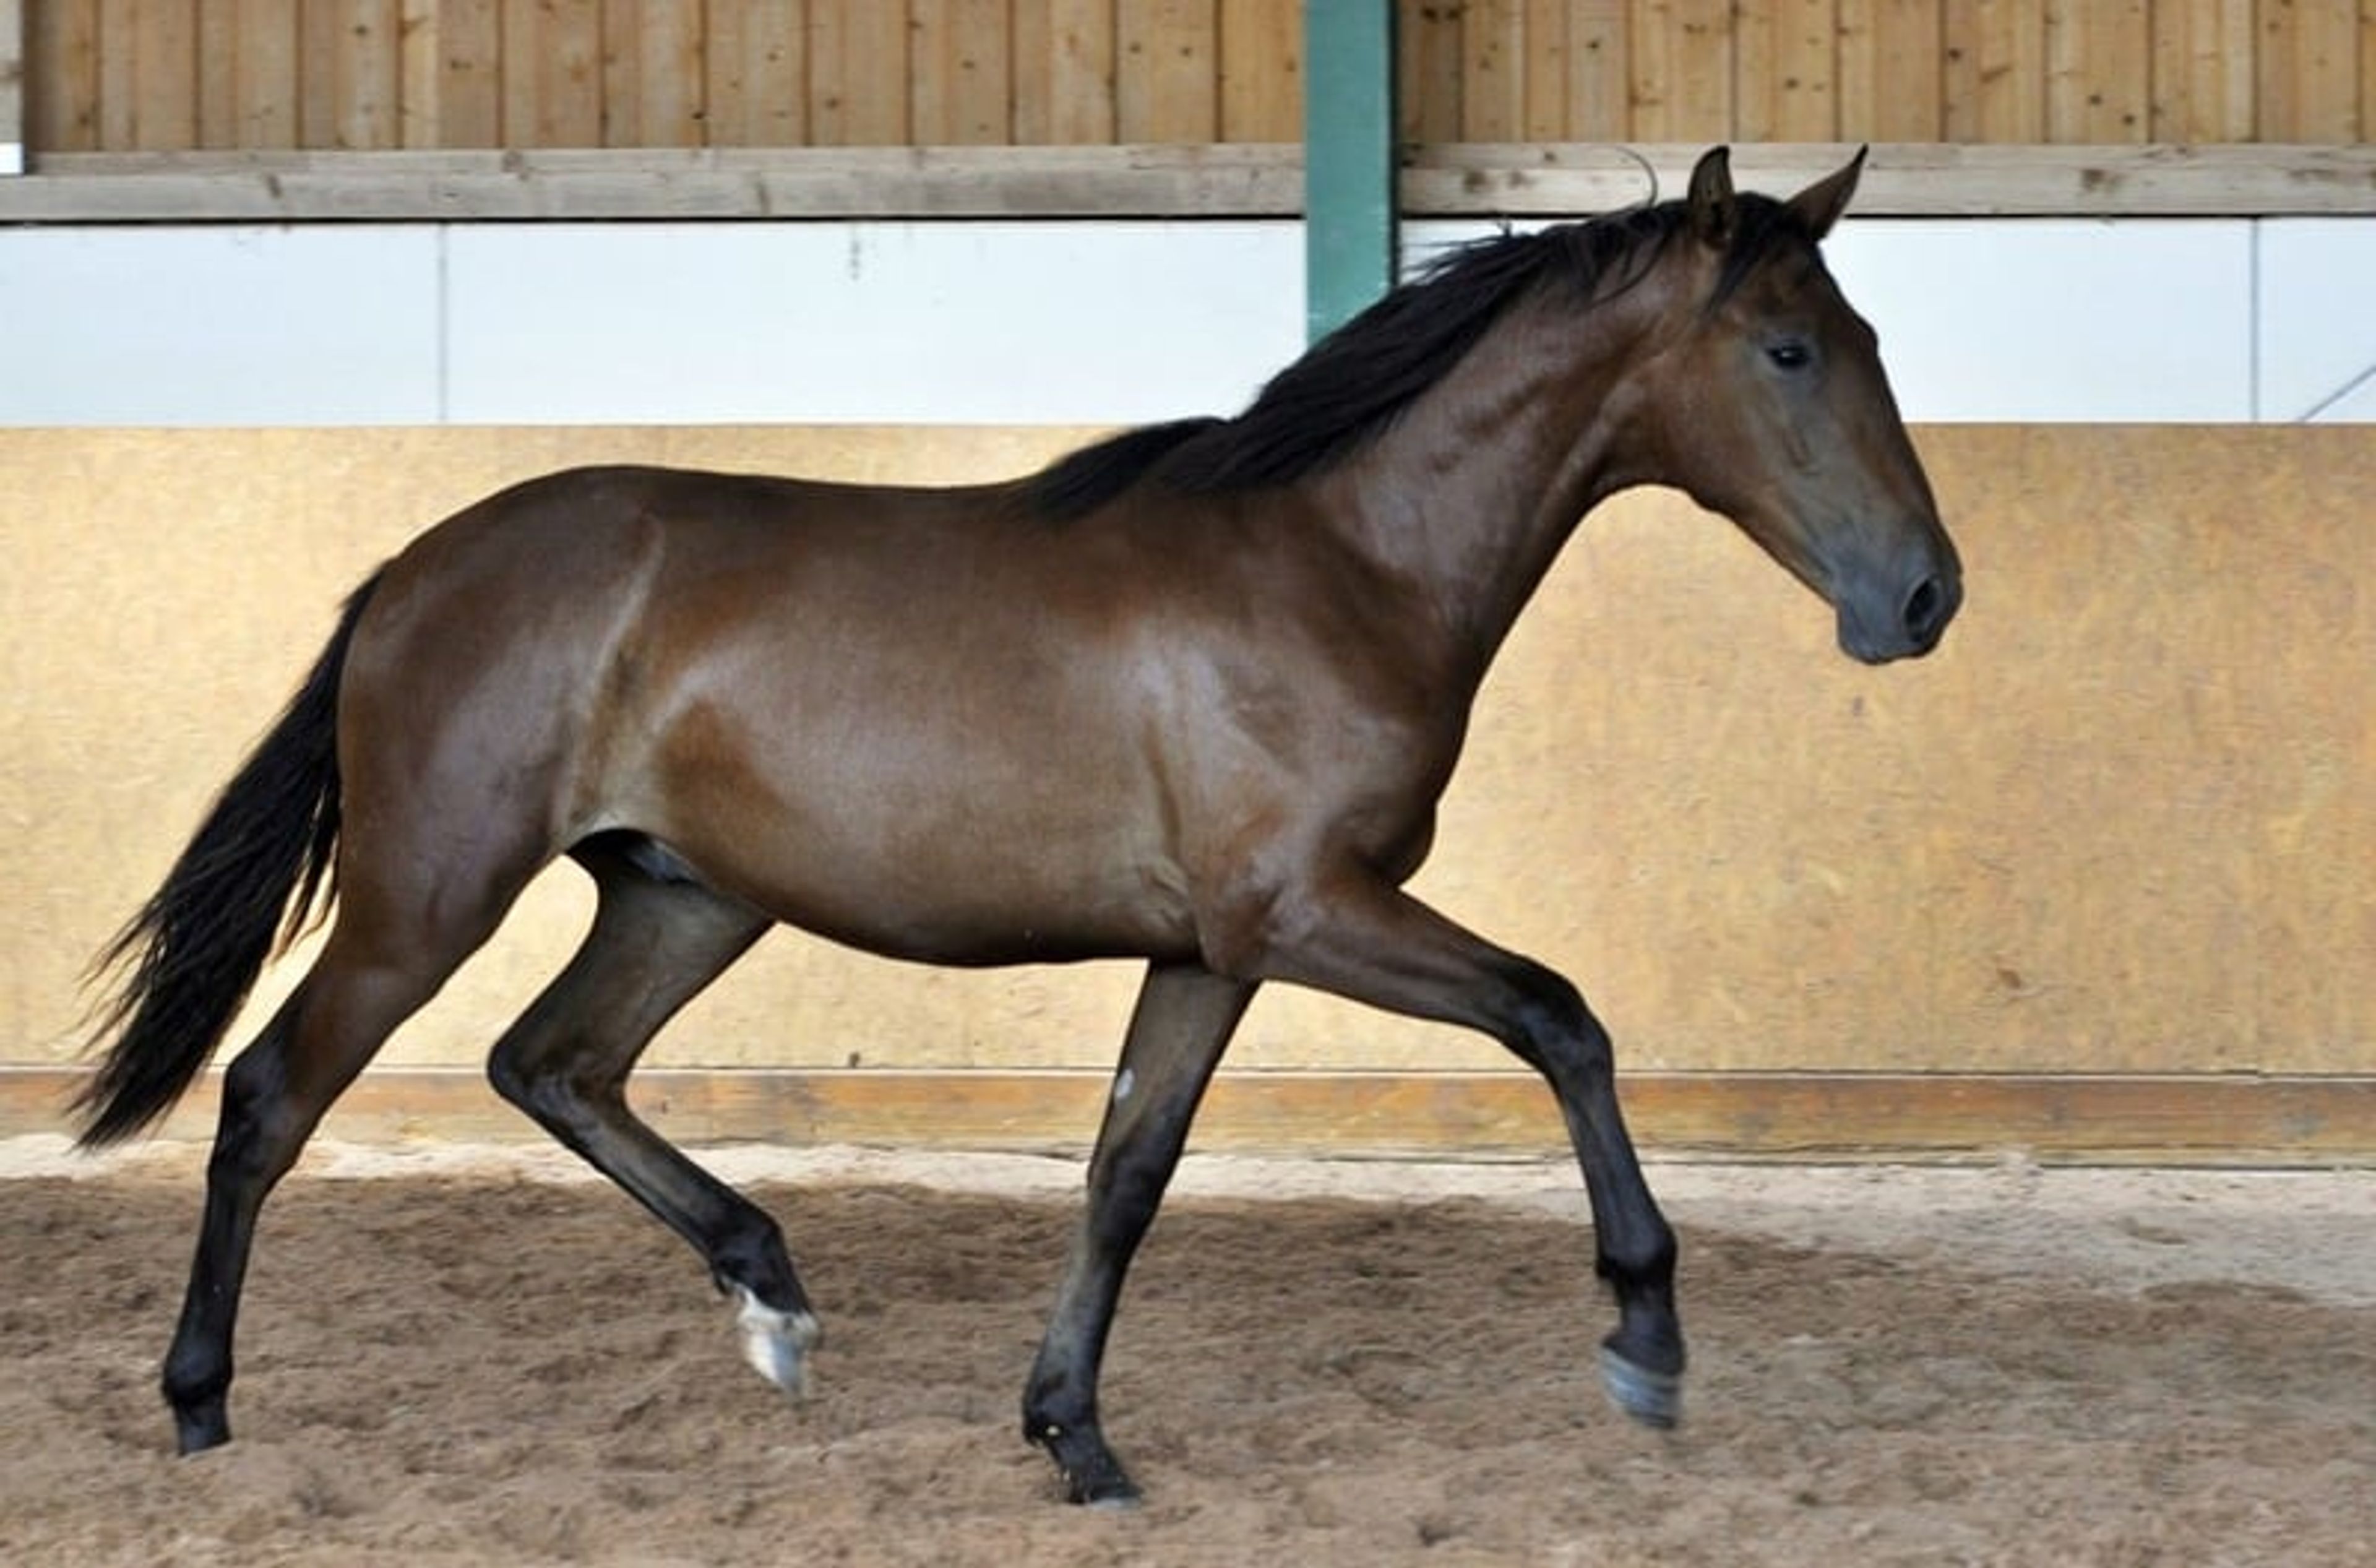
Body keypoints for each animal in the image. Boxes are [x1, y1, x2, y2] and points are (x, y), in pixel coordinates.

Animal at [73, 146, 1958, 1507]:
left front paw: (1074, 1435)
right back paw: (201, 1408)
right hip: (429, 892)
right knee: (270, 1097)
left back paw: (773, 1298)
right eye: (1789, 349)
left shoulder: (1210, 951)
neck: (1338, 562)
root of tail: (409, 568)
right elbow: (1562, 1016)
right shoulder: (1308, 910)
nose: (1923, 597)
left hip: (684, 898)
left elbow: (1126, 1176)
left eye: (1867, 341)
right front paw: (1645, 1335)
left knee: (553, 1064)